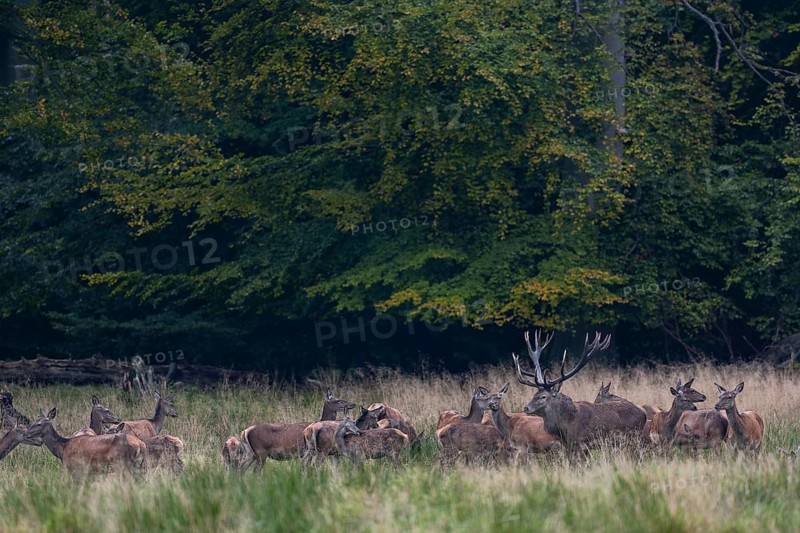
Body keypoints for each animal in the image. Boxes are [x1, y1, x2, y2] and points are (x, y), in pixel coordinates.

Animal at [513, 329, 647, 458]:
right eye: (534, 394)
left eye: (543, 396)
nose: (526, 408)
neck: (566, 425)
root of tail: (643, 413)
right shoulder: (568, 445)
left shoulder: (582, 443)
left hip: (632, 437)